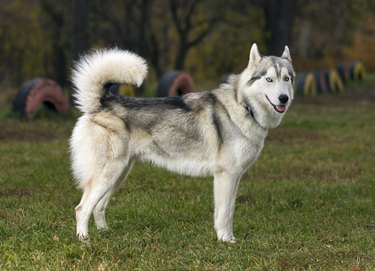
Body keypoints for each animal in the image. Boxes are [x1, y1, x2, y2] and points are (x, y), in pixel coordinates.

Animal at [70, 43, 294, 243]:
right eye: (269, 79)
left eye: (286, 79)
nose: (283, 98)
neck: (244, 106)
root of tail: (103, 102)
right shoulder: (225, 176)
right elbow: (223, 215)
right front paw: (225, 240)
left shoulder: (235, 177)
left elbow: (229, 211)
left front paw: (228, 238)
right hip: (108, 174)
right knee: (82, 209)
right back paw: (84, 241)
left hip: (118, 175)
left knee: (98, 207)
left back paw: (105, 233)